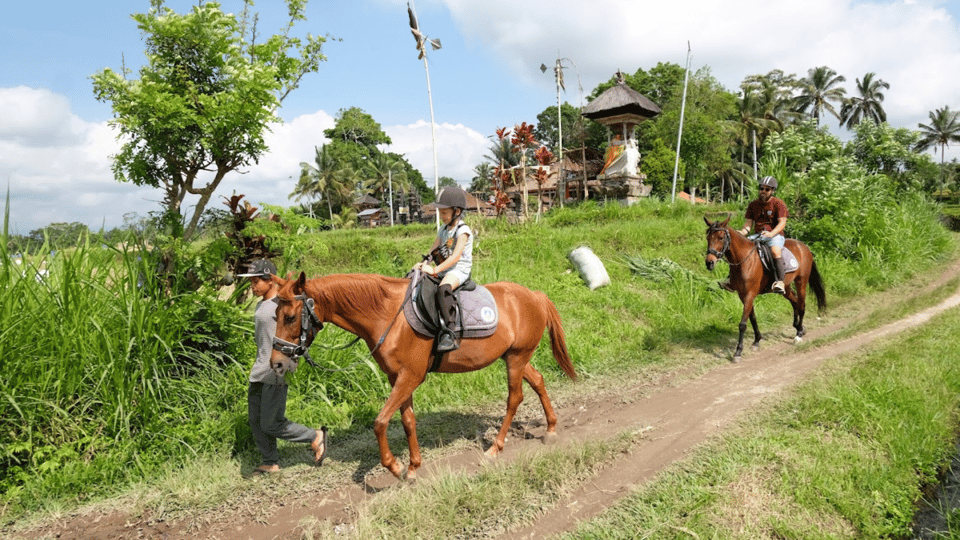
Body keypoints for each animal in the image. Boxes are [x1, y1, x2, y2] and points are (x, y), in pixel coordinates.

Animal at [269, 272, 577, 481]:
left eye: (290, 317)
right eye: (275, 316)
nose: (277, 363)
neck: (387, 315)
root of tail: (534, 295)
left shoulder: (412, 376)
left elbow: (380, 422)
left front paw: (394, 466)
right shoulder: (398, 378)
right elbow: (407, 421)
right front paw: (414, 466)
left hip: (515, 359)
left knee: (514, 397)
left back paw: (496, 447)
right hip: (516, 357)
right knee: (538, 381)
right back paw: (550, 428)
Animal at [703, 216, 827, 361]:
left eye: (721, 237)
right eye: (708, 238)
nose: (709, 263)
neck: (745, 260)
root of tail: (804, 247)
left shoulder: (749, 294)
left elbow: (743, 324)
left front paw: (738, 352)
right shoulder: (743, 295)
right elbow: (752, 318)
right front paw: (757, 341)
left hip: (801, 281)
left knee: (801, 304)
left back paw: (798, 335)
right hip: (786, 287)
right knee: (795, 301)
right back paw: (799, 327)